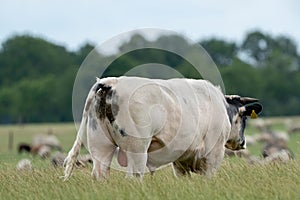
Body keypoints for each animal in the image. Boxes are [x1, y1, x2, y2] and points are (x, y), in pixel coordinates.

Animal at [63, 76, 262, 180]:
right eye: (244, 118)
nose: (243, 143)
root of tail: (112, 83)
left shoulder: (181, 160)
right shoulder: (214, 155)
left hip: (101, 145)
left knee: (100, 175)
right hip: (137, 149)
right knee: (133, 176)